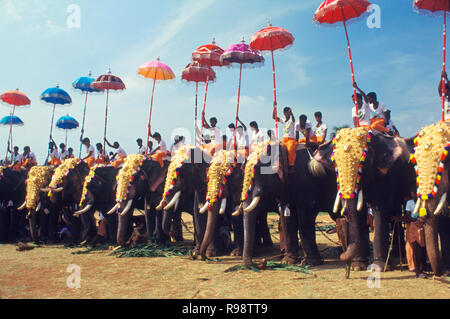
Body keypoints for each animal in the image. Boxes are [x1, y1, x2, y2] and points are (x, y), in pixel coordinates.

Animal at [330, 127, 414, 272]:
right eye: (335, 163)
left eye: (363, 163)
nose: (341, 255)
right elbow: (359, 213)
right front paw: (357, 267)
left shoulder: (386, 174)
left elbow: (380, 208)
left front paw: (378, 268)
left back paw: (397, 256)